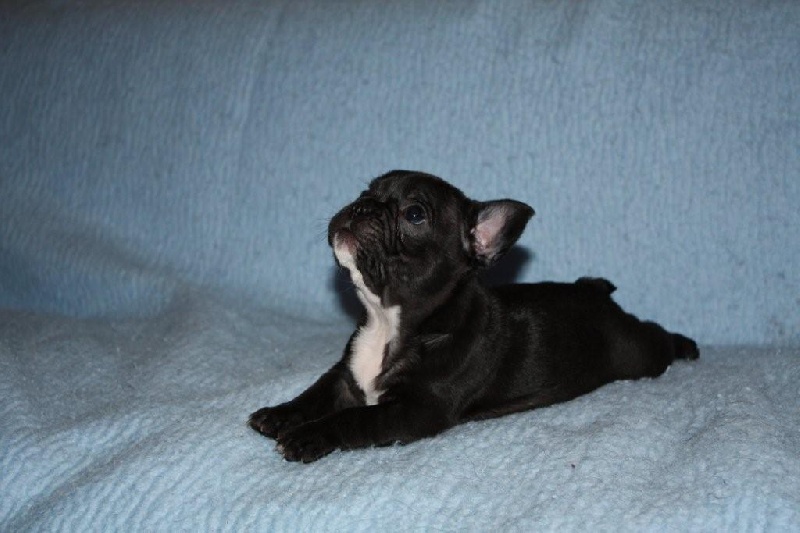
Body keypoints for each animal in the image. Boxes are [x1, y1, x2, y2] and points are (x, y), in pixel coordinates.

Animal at [249, 170, 699, 462]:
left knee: (655, 337)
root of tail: (593, 290)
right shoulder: (345, 375)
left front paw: (308, 436)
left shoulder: (412, 411)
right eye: (366, 190)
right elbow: (315, 394)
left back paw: (687, 345)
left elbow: (356, 418)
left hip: (635, 353)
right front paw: (280, 414)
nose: (361, 206)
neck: (388, 320)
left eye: (414, 214)